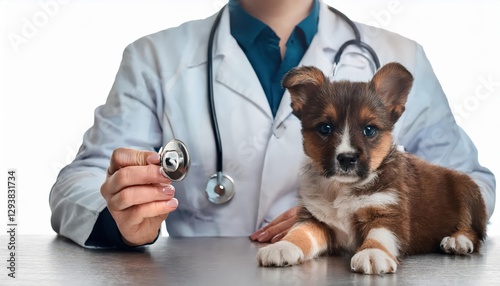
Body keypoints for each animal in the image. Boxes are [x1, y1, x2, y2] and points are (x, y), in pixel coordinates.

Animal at [256, 62, 486, 274]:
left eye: (369, 130)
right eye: (325, 128)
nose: (346, 159)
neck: (341, 188)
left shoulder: (389, 214)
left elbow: (380, 235)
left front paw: (373, 253)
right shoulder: (315, 219)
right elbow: (299, 232)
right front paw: (282, 246)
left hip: (467, 189)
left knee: (475, 231)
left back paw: (458, 240)